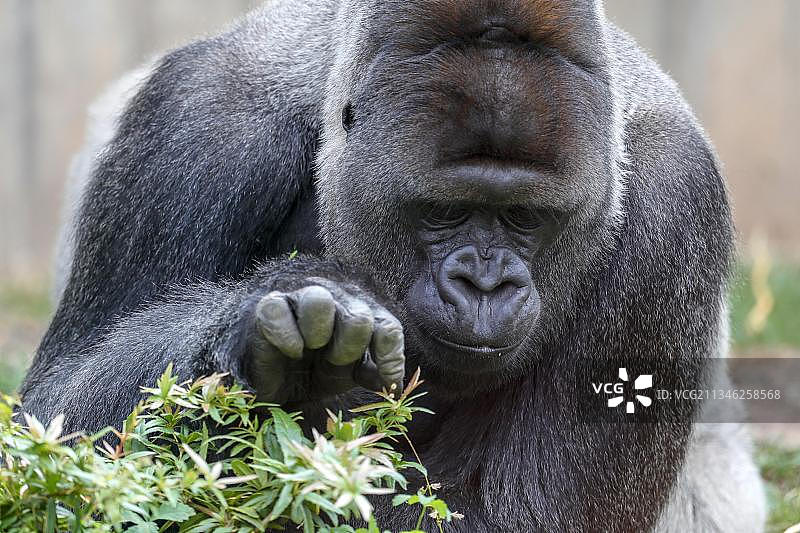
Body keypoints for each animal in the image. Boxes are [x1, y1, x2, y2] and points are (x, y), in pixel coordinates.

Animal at [22, 1, 765, 531]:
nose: (484, 284)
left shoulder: (675, 196)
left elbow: (511, 517)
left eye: (525, 218)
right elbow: (61, 426)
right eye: (441, 212)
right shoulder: (201, 119)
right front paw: (265, 325)